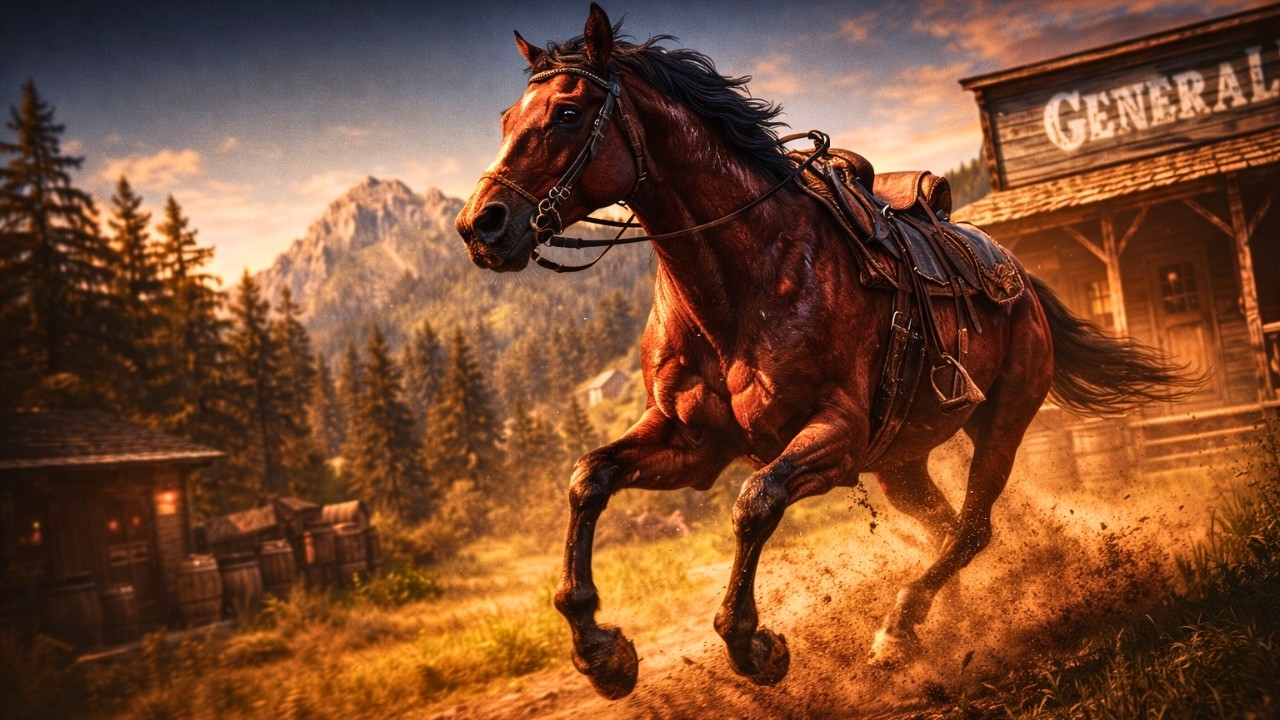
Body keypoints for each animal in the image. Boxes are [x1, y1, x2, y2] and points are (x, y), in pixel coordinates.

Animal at [455, 3, 1192, 700]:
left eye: (568, 113)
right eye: (506, 118)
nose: (479, 226)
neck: (743, 278)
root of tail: (1023, 280)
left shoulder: (834, 436)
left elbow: (755, 502)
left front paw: (753, 645)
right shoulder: (693, 444)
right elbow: (589, 479)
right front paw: (601, 652)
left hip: (1002, 422)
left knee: (973, 528)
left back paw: (899, 630)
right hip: (900, 463)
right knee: (944, 527)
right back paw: (937, 624)